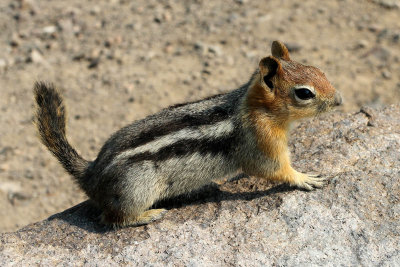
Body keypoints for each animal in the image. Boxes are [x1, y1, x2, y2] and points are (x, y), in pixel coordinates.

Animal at [33, 40, 340, 227]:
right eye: (304, 93)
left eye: (319, 70)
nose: (339, 100)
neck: (256, 108)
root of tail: (91, 174)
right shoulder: (261, 143)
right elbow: (274, 170)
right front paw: (304, 178)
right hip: (136, 189)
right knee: (112, 218)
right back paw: (149, 215)